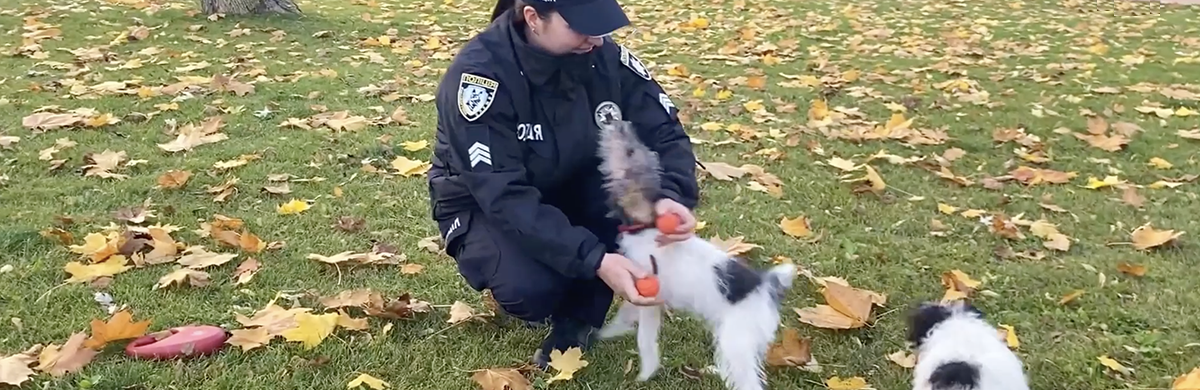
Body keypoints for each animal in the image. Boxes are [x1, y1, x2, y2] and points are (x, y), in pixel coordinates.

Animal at [592, 118, 796, 388]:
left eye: (629, 152)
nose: (618, 122)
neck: (646, 226)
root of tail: (766, 285)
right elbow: (626, 314)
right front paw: (608, 332)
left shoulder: (650, 296)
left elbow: (645, 338)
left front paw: (646, 372)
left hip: (736, 342)